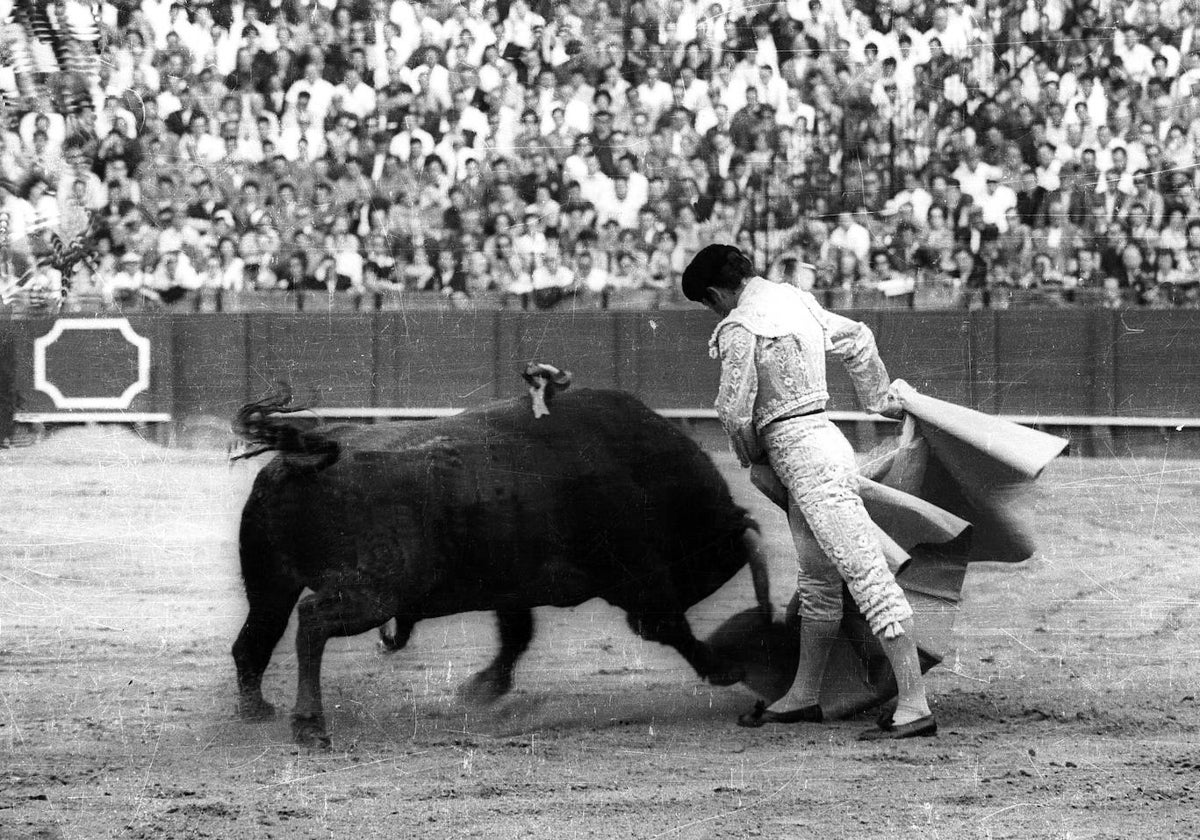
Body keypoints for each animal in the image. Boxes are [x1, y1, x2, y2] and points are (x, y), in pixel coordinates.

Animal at [232, 388, 772, 748]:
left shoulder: (514, 588)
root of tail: (306, 453)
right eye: (707, 564)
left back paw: (256, 709)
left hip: (270, 584)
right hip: (376, 591)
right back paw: (309, 725)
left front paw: (481, 690)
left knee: (257, 637)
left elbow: (517, 635)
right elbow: (674, 628)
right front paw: (725, 668)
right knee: (311, 623)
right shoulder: (640, 579)